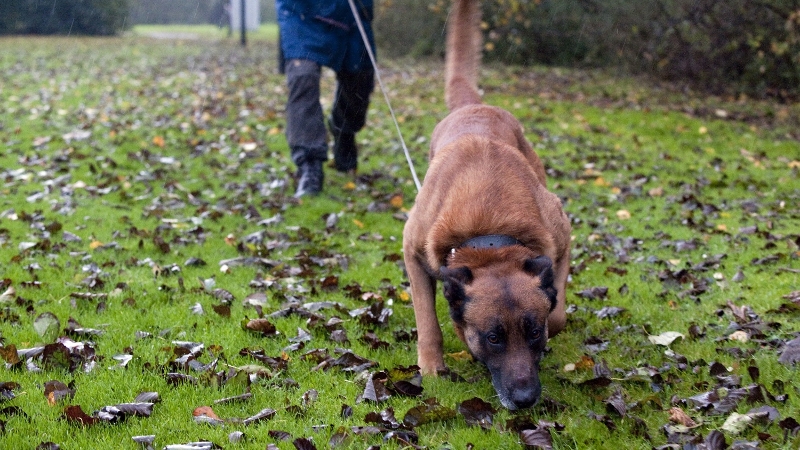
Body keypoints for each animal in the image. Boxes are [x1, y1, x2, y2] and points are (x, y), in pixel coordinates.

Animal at [404, 0, 572, 410]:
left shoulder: (561, 240)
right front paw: (432, 365)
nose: (525, 399)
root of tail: (474, 106)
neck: (490, 235)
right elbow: (427, 321)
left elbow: (557, 313)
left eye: (533, 332)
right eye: (493, 337)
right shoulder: (413, 253)